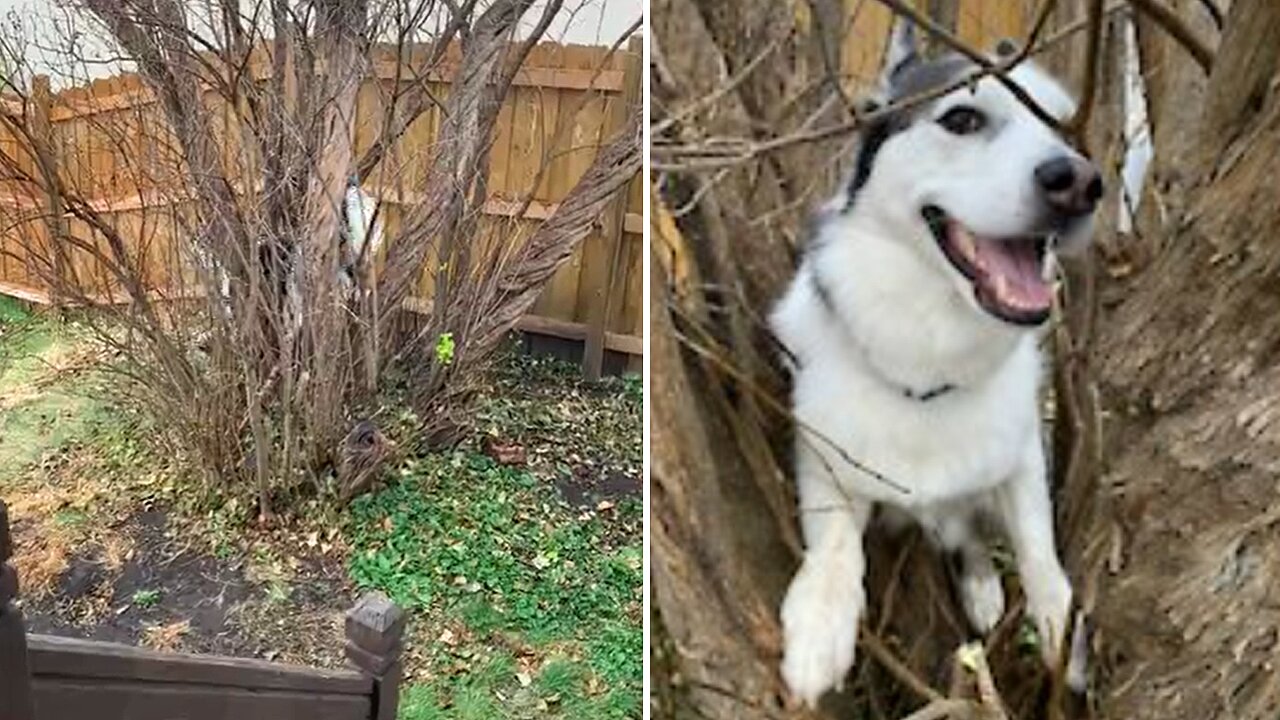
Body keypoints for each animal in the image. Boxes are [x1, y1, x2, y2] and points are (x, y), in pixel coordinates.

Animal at [768, 23, 1100, 707]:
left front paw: (1059, 624)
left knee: (973, 530)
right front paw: (819, 625)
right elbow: (835, 544)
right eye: (962, 119)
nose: (1081, 182)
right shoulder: (824, 454)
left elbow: (1037, 543)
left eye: (1062, 128)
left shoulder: (1021, 452)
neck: (927, 360)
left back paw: (981, 586)